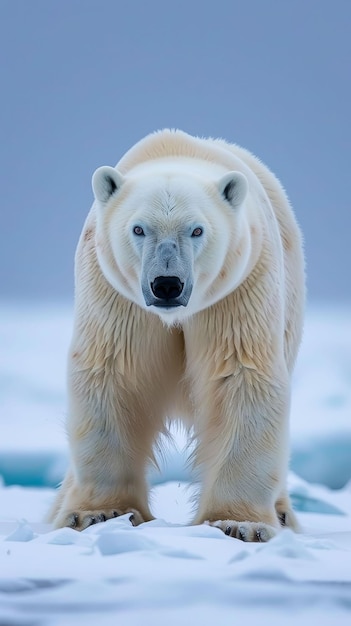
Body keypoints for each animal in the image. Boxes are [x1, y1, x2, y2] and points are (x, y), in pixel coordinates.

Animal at [49, 129, 306, 540]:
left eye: (197, 229)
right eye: (139, 228)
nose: (167, 284)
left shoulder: (239, 287)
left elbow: (241, 376)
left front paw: (239, 523)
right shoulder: (115, 294)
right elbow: (114, 373)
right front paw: (99, 514)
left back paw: (281, 514)